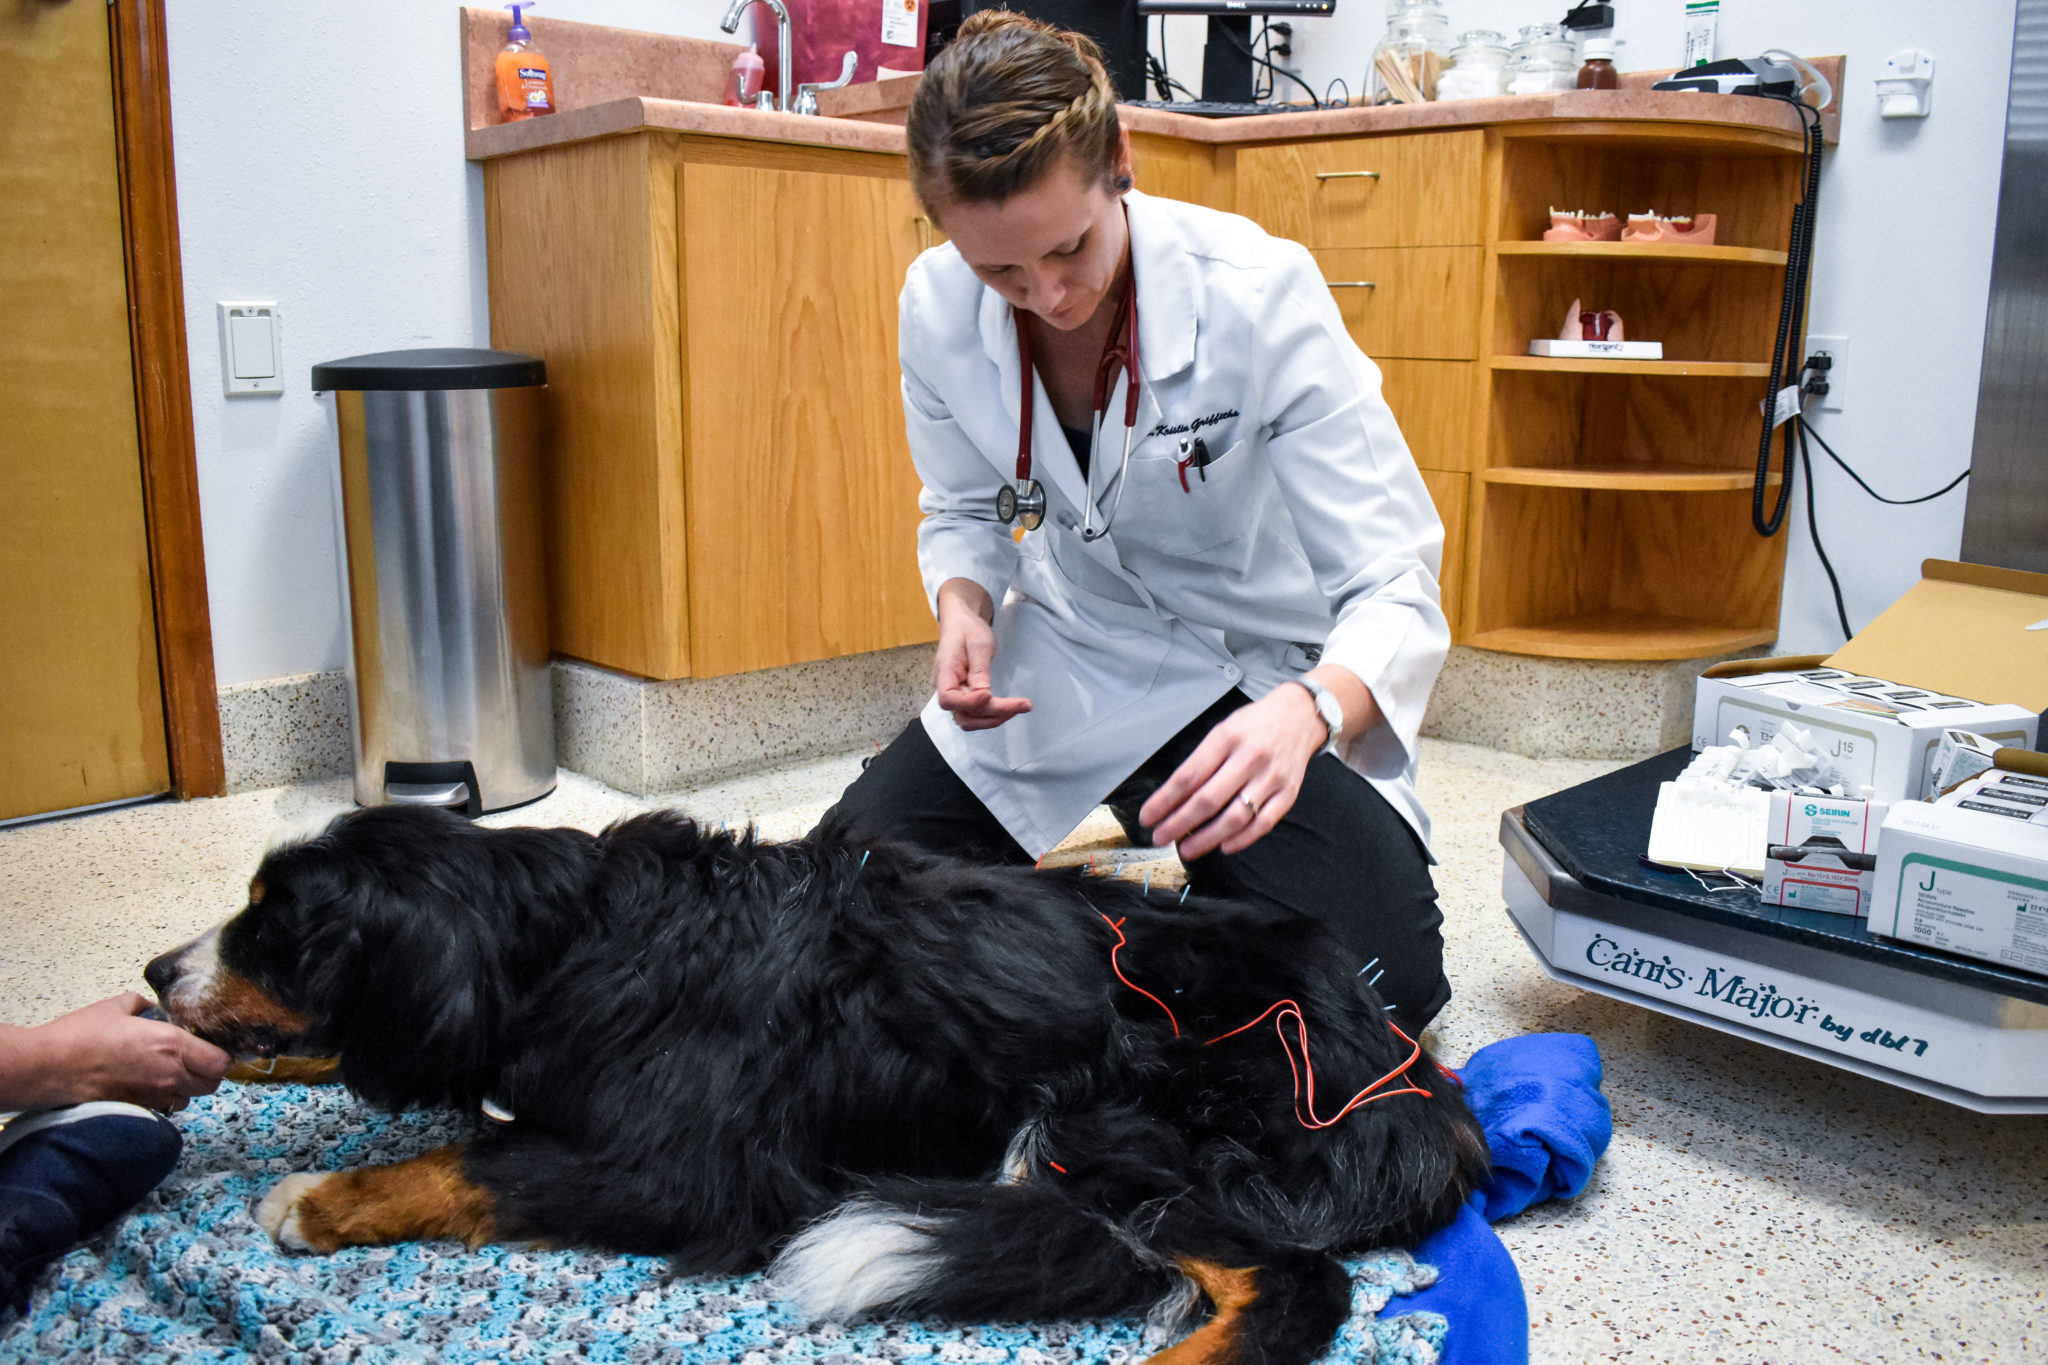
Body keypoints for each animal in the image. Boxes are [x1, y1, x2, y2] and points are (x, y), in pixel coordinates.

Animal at [148, 806, 1490, 1358]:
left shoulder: (684, 1173)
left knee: (1296, 1288)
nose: (158, 968)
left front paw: (319, 1197)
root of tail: (1407, 1079)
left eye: (273, 925)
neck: (576, 939)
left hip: (1108, 1122)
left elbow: (464, 1162)